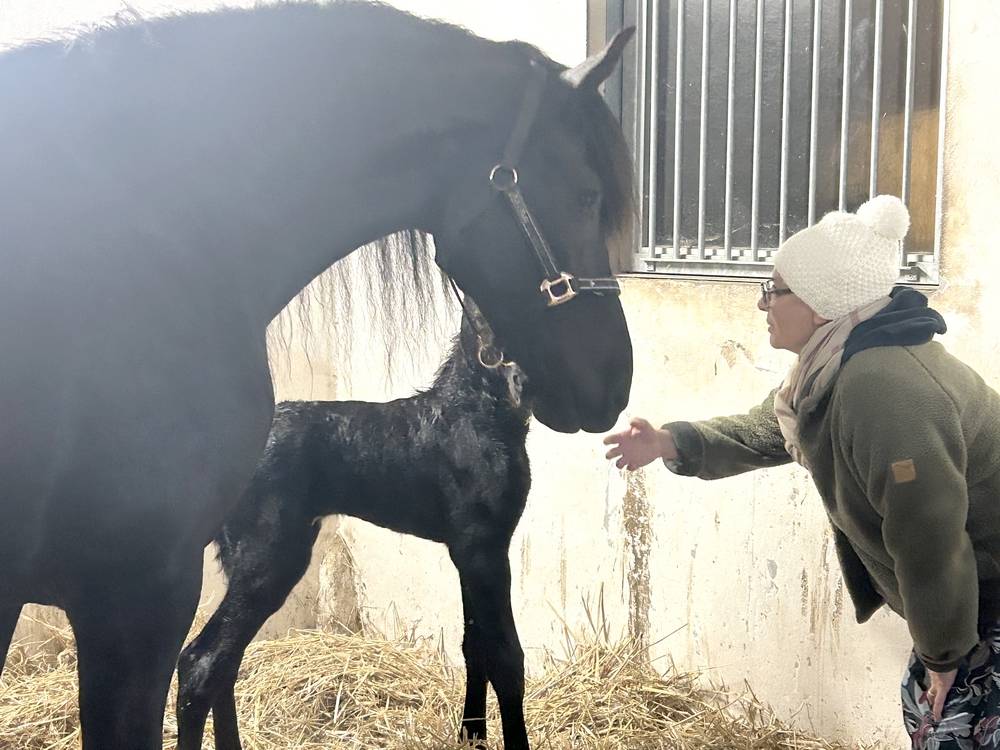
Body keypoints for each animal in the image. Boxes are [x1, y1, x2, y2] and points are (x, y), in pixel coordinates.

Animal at [177, 304, 533, 750]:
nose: (524, 381)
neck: (476, 411)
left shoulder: (469, 553)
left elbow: (475, 646)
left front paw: (472, 736)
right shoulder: (484, 548)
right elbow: (505, 657)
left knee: (226, 661)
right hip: (270, 561)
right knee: (201, 663)